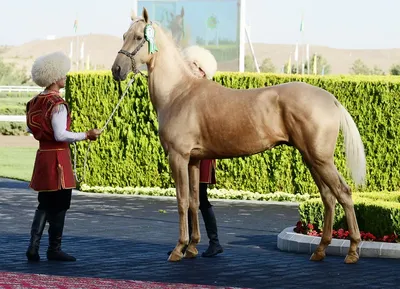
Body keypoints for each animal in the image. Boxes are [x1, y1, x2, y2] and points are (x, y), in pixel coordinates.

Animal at [111, 7, 368, 264]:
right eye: (123, 35)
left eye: (139, 37)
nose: (116, 70)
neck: (179, 93)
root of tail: (330, 99)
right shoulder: (194, 160)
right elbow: (195, 202)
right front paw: (192, 247)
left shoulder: (178, 157)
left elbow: (182, 201)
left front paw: (178, 248)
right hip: (311, 159)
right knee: (328, 197)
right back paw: (320, 249)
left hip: (320, 159)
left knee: (343, 193)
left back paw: (353, 250)